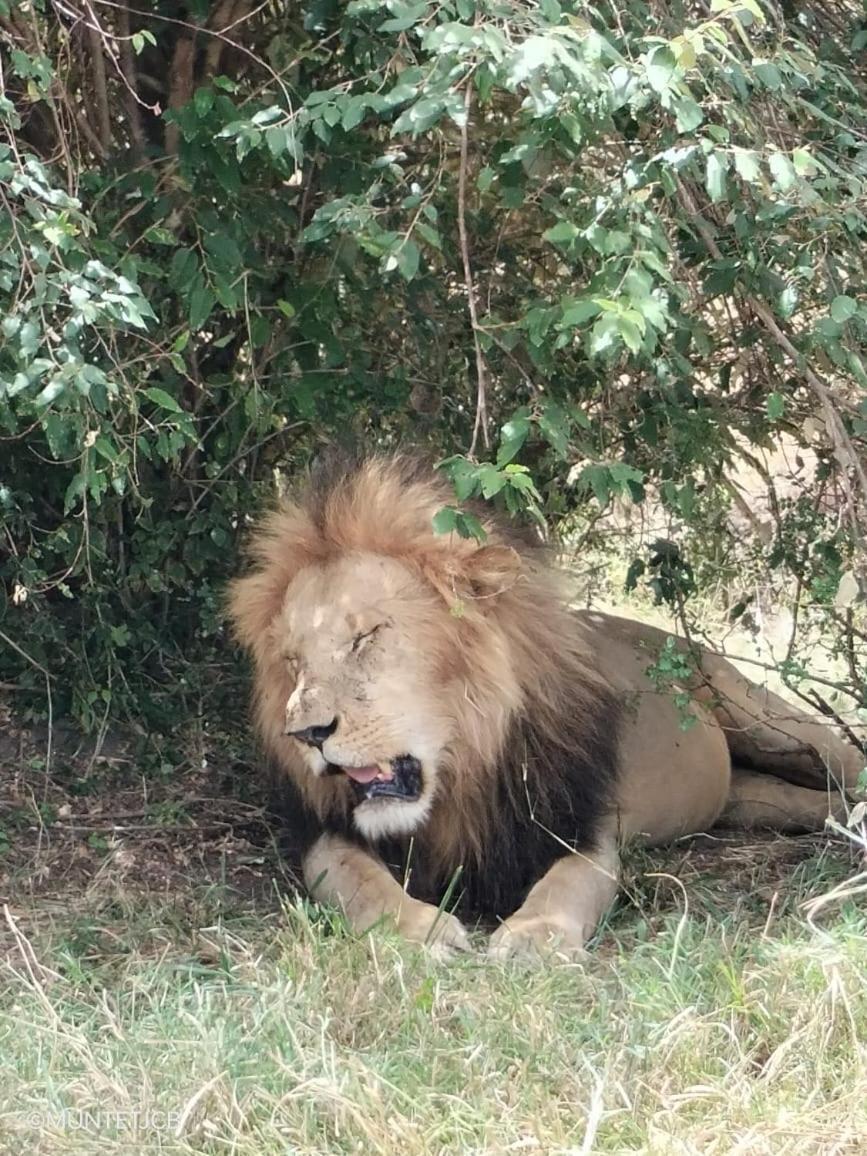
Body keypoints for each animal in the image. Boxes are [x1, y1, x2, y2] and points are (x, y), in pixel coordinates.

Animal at [227, 450, 864, 957]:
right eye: (293, 661)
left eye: (366, 636)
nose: (306, 734)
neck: (461, 773)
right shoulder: (327, 833)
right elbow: (359, 882)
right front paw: (417, 933)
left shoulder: (579, 826)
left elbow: (567, 884)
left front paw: (535, 938)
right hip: (748, 800)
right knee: (800, 802)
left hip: (762, 715)